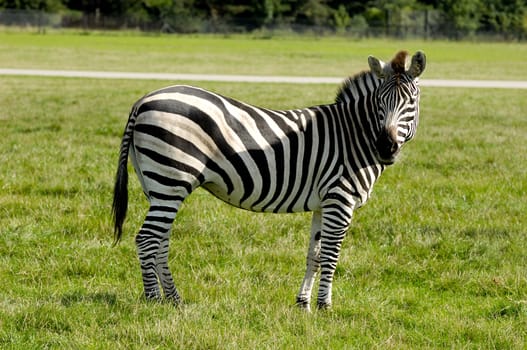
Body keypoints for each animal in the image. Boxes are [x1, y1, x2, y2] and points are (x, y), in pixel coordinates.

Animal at [113, 50, 426, 312]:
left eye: (410, 103)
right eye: (379, 103)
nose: (386, 147)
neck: (354, 137)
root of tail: (144, 100)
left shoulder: (323, 203)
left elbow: (314, 255)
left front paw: (303, 305)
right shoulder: (340, 200)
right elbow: (331, 254)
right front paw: (325, 307)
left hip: (158, 186)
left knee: (161, 240)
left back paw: (174, 299)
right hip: (170, 180)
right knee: (147, 239)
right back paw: (154, 301)